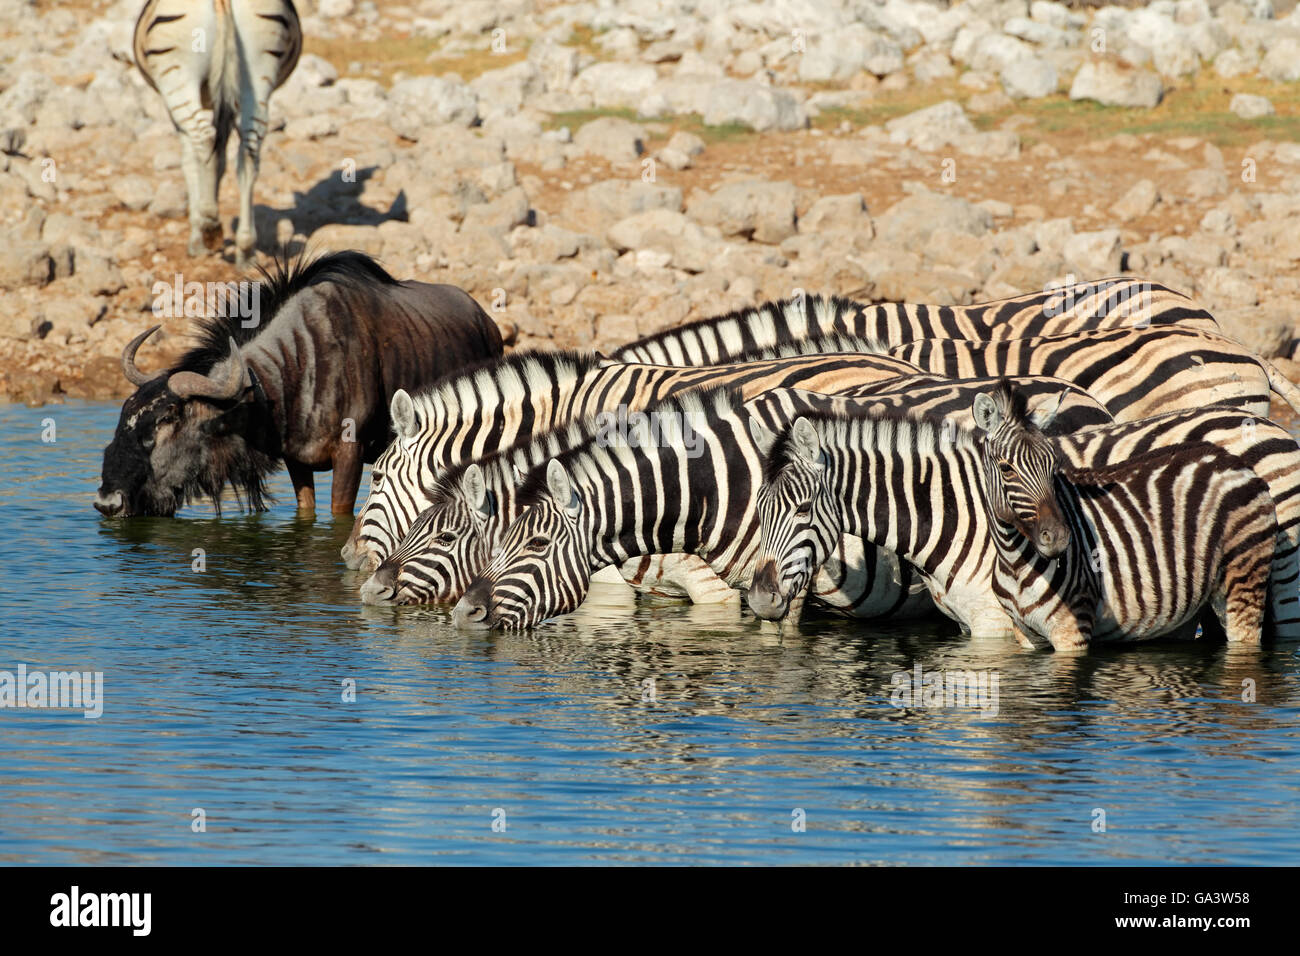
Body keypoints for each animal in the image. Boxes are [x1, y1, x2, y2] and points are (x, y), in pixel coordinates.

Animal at [133, 0, 301, 264]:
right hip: (257, 77)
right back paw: (245, 248)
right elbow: (220, 160)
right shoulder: (224, 101)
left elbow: (190, 162)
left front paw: (197, 237)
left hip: (177, 78)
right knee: (249, 154)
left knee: (203, 139)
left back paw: (210, 224)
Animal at [972, 385, 1274, 655]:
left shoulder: (1072, 628)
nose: (1058, 538)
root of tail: (1231, 460)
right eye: (1006, 469)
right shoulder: (1025, 635)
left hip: (1244, 577)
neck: (1014, 560)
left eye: (1053, 466)